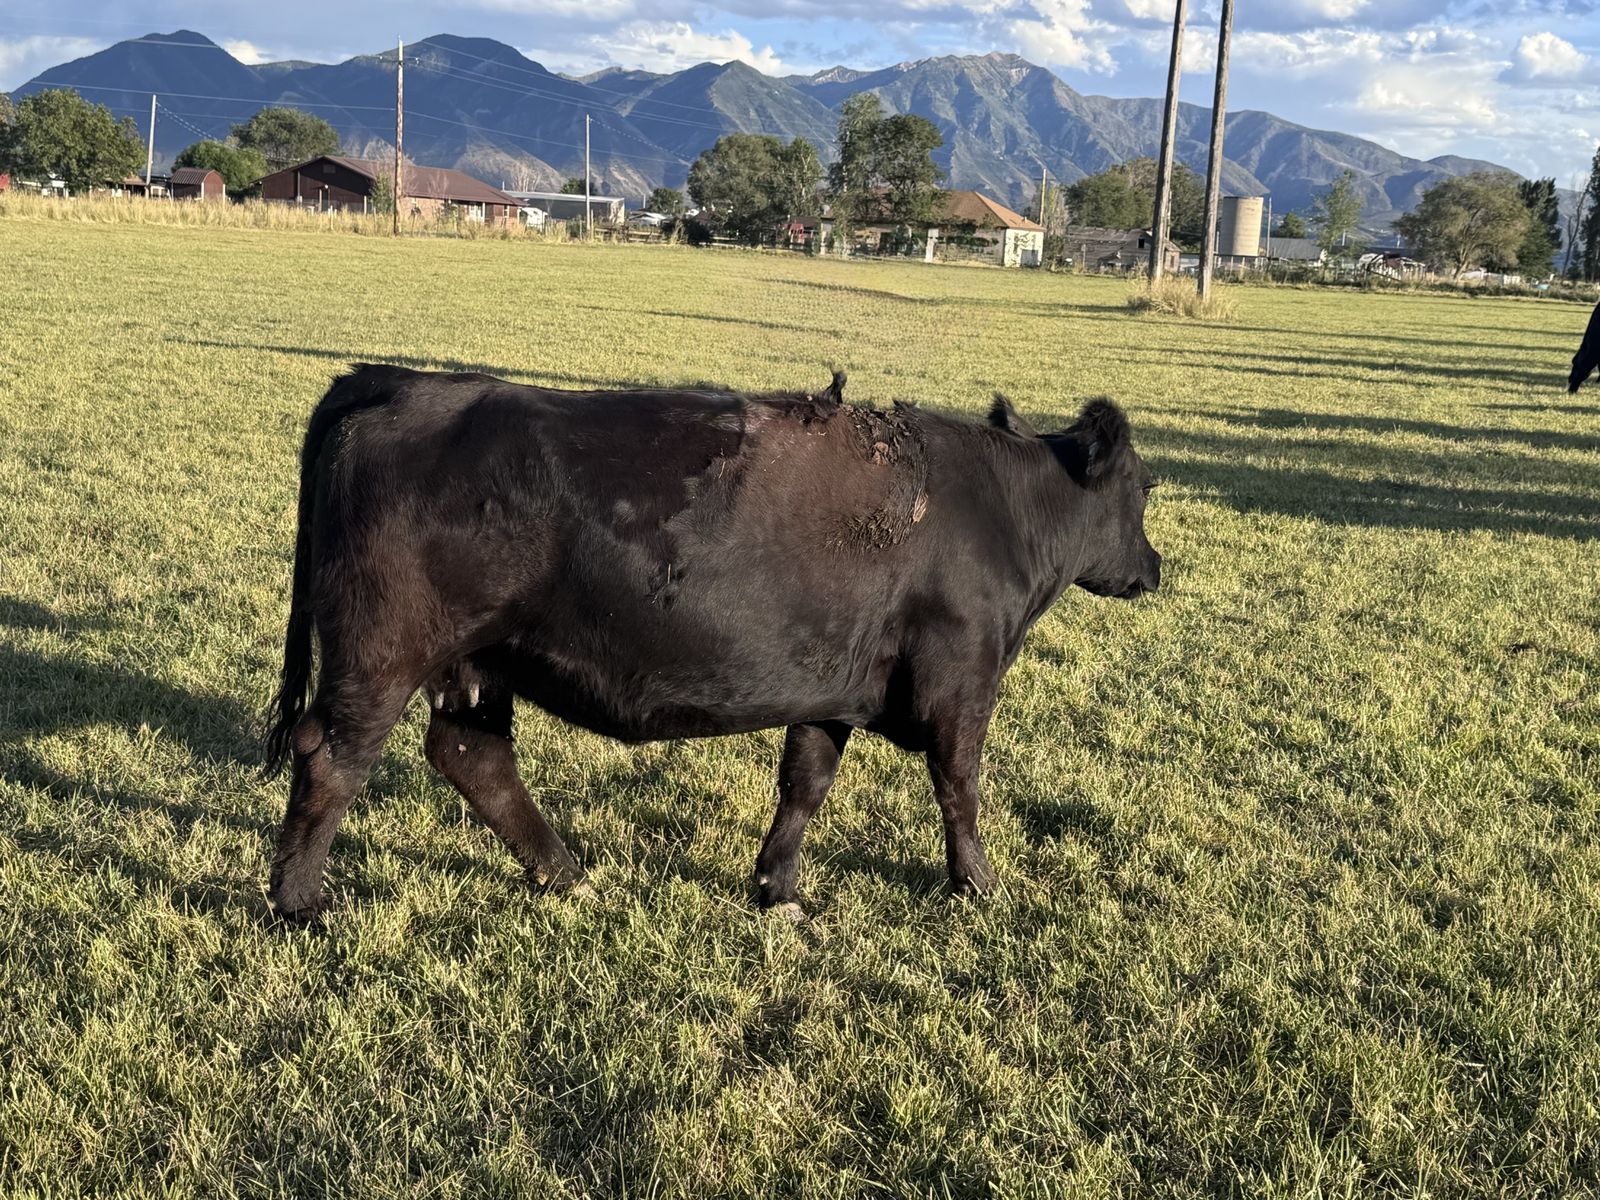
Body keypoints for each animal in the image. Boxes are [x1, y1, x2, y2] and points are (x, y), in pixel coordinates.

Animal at [263, 365, 1161, 921]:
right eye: (1146, 488)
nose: (1154, 567)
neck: (997, 512)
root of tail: (403, 382)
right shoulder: (960, 681)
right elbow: (960, 788)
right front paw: (978, 883)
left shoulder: (831, 687)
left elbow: (804, 784)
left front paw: (779, 888)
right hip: (382, 655)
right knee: (332, 758)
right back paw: (300, 904)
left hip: (477, 663)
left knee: (471, 755)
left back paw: (566, 876)